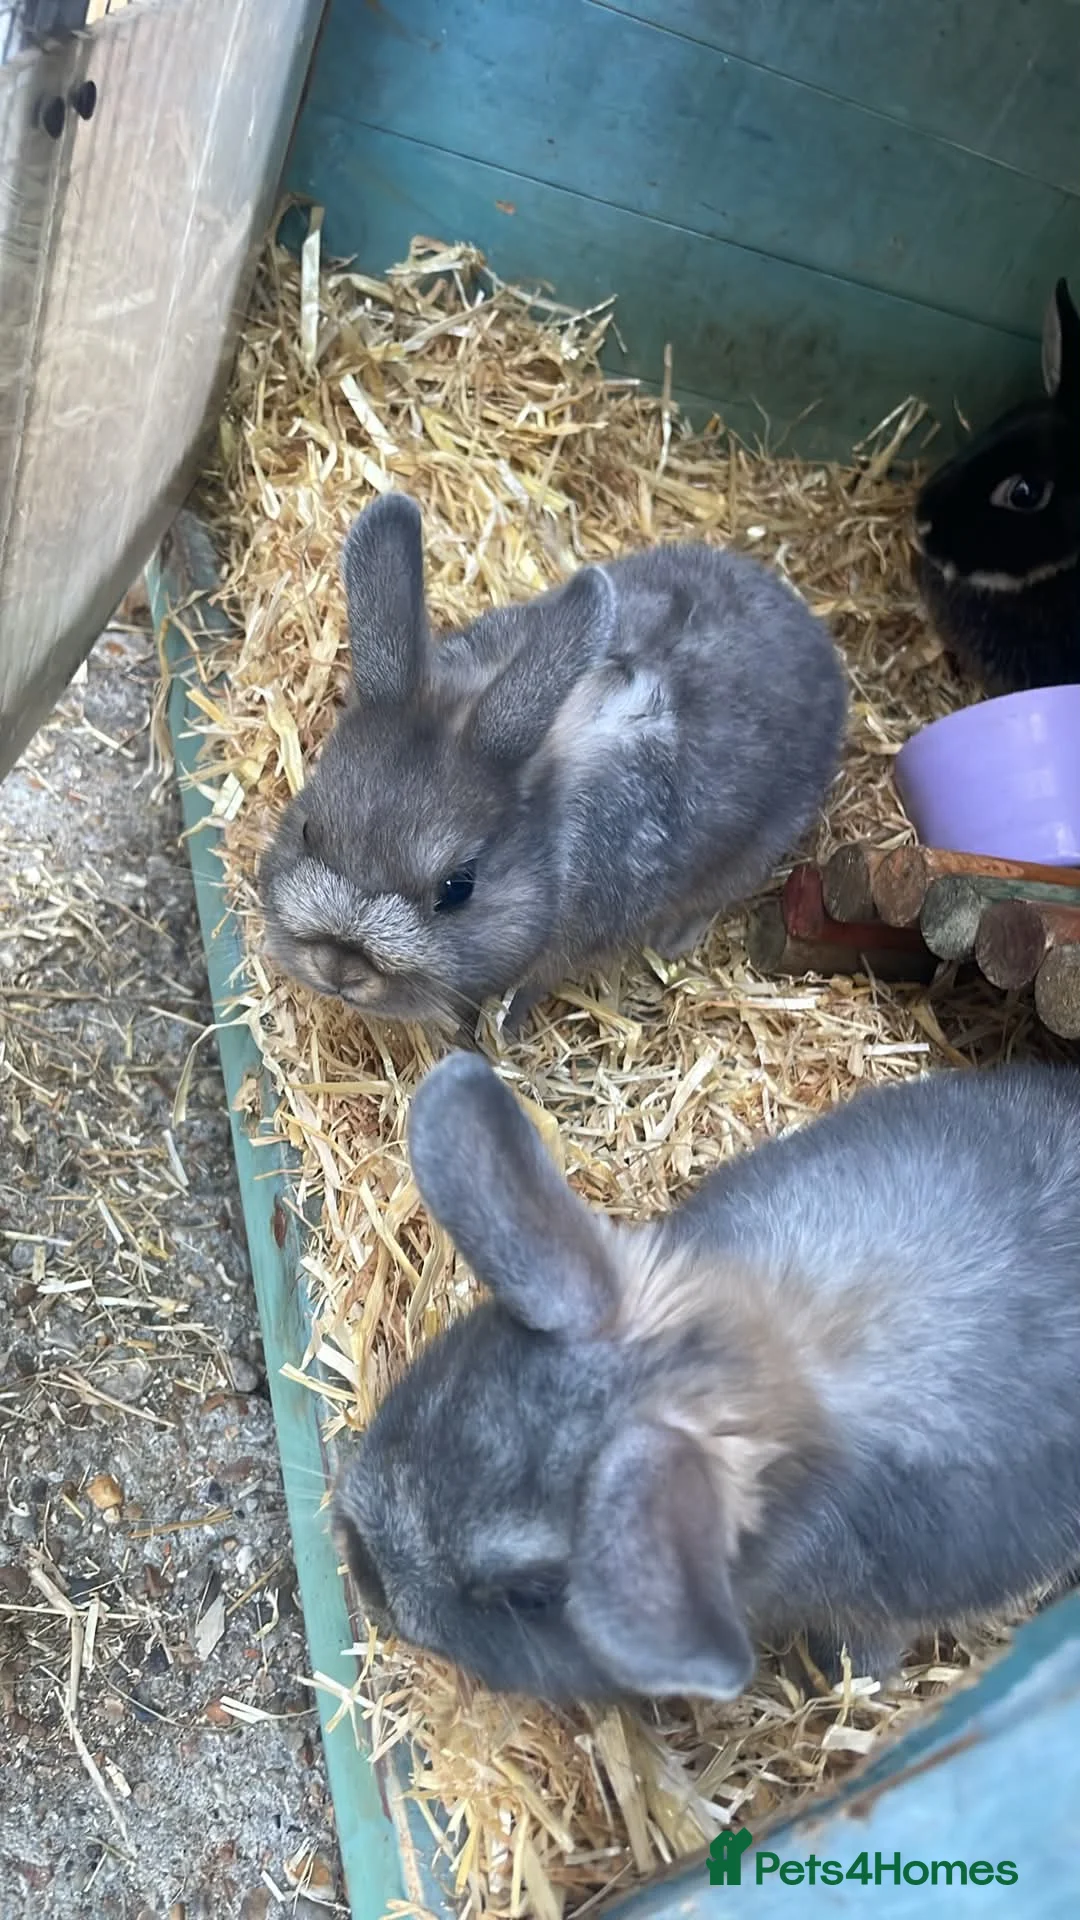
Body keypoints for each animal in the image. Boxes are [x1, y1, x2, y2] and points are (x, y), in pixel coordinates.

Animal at [258, 491, 847, 1036]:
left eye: (457, 889)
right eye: (308, 830)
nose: (340, 969)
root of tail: (818, 642)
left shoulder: (566, 948)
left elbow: (530, 987)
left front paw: (504, 1031)